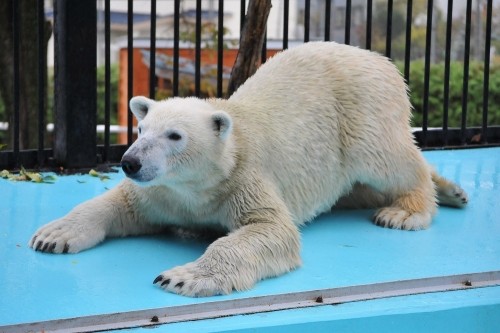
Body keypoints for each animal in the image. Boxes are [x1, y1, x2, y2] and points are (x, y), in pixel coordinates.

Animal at [29, 41, 466, 296]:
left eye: (175, 135)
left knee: (391, 159)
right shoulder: (163, 193)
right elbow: (120, 205)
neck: (197, 186)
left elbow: (269, 230)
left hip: (362, 112)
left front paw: (182, 276)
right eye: (141, 129)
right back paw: (452, 192)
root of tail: (379, 57)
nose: (130, 161)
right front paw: (53, 235)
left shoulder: (243, 180)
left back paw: (407, 210)